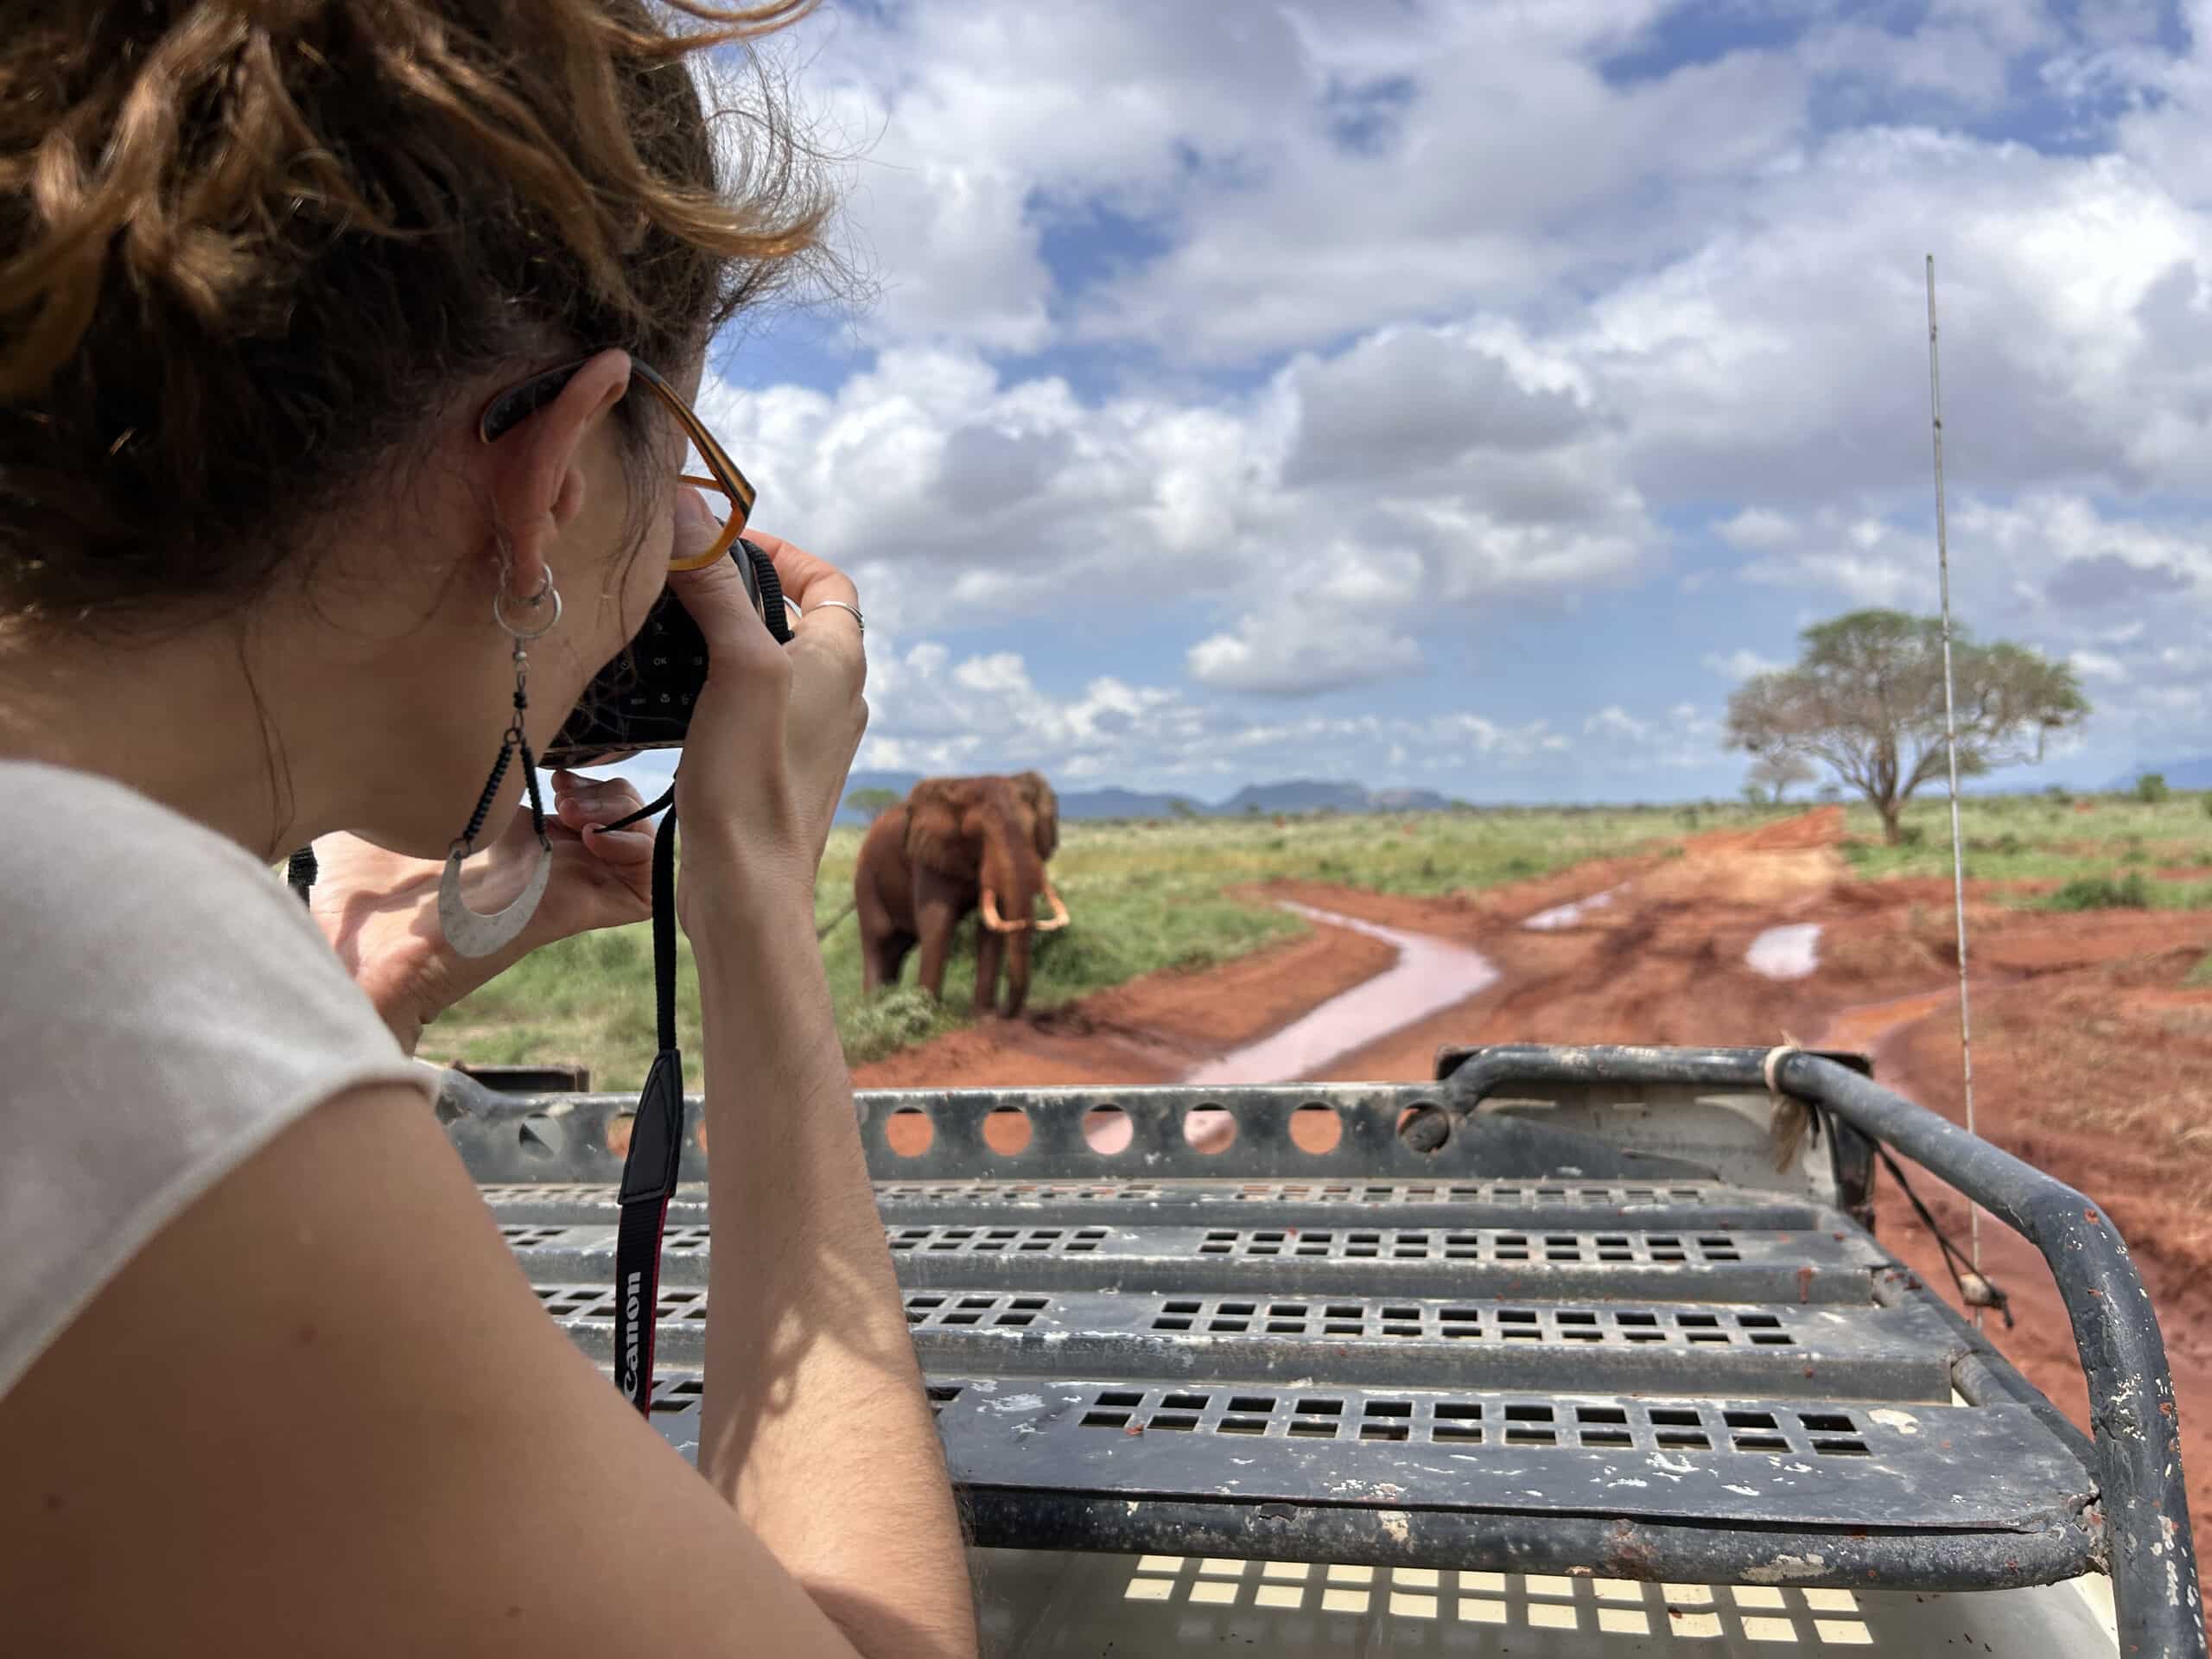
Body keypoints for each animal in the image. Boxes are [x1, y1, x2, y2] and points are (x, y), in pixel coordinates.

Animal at [854, 774, 1071, 1021]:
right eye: (978, 836)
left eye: (1033, 830)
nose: (1004, 1013)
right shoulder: (929, 858)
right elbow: (938, 922)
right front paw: (929, 1016)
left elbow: (992, 927)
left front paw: (985, 1017)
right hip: (866, 879)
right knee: (878, 939)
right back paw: (871, 1009)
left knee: (897, 948)